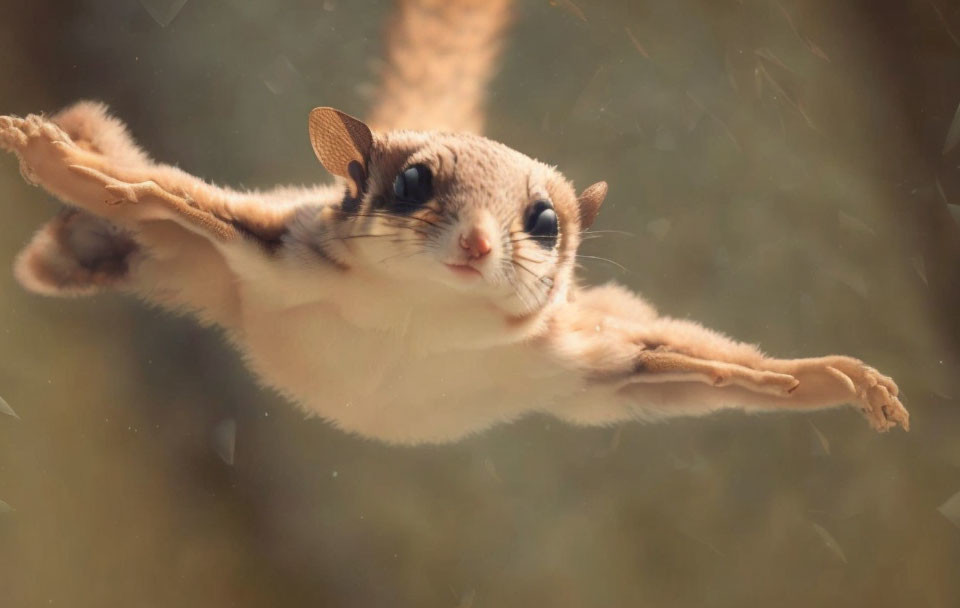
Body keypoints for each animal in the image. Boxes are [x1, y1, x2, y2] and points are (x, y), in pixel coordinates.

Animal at [0, 1, 908, 446]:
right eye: (410, 183)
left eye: (545, 220)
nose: (475, 242)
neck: (416, 320)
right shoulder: (265, 243)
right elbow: (153, 193)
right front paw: (49, 154)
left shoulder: (586, 358)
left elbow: (717, 375)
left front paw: (837, 379)